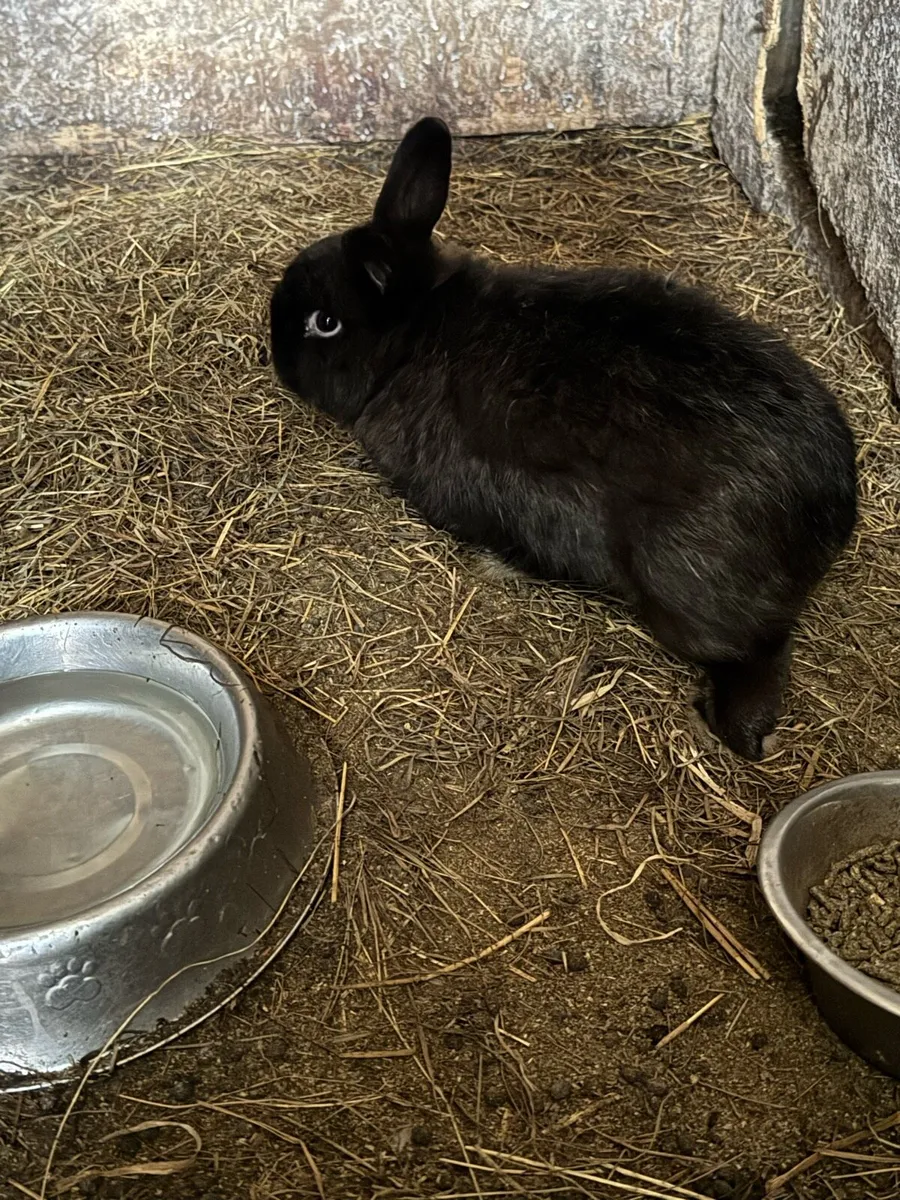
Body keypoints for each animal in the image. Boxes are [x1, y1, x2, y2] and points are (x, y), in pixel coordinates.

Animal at [270, 117, 857, 761]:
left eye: (325, 323)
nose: (276, 355)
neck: (416, 335)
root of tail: (832, 514)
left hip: (685, 591)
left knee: (760, 650)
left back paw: (729, 722)